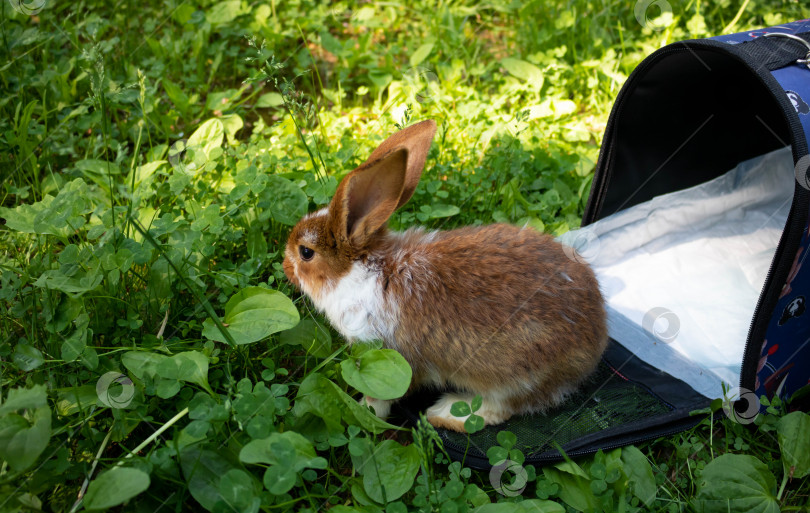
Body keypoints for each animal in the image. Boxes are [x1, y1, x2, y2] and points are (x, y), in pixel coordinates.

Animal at [284, 121, 608, 432]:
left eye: (306, 252)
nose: (286, 267)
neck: (361, 269)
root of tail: (596, 339)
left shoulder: (393, 354)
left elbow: (384, 396)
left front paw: (363, 411)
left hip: (513, 374)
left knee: (503, 407)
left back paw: (444, 414)